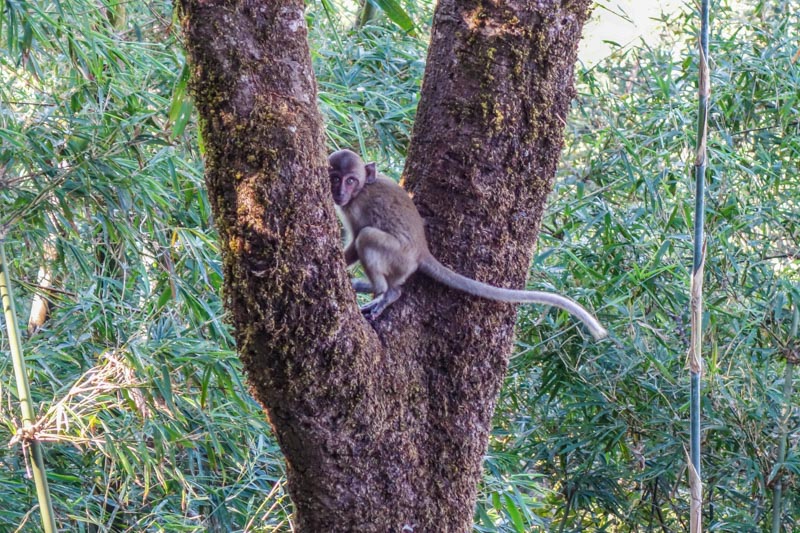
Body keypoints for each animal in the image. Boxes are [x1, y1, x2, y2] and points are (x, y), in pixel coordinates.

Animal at [328, 148, 608, 338]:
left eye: (350, 180)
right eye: (335, 177)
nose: (339, 192)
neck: (362, 189)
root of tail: (421, 250)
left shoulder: (355, 206)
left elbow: (356, 238)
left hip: (400, 257)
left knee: (368, 237)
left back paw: (382, 292)